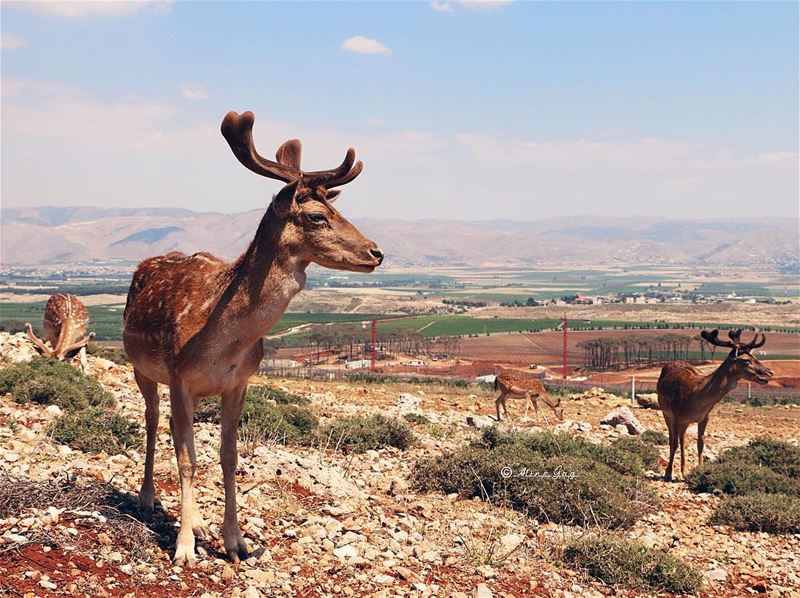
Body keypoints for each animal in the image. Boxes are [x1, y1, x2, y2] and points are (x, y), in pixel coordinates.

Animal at [122, 111, 384, 568]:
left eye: (336, 207)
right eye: (317, 216)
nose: (376, 252)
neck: (224, 341)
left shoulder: (238, 383)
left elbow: (229, 458)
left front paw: (234, 541)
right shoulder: (180, 378)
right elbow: (188, 461)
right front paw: (184, 549)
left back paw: (199, 521)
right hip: (142, 368)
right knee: (153, 422)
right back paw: (149, 497)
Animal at [656, 330, 776, 486]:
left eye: (755, 357)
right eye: (745, 360)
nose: (769, 372)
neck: (695, 399)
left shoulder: (704, 417)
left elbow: (700, 443)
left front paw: (699, 470)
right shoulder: (675, 415)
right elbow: (673, 443)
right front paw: (668, 474)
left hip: (685, 422)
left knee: (682, 438)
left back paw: (683, 470)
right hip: (665, 412)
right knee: (674, 439)